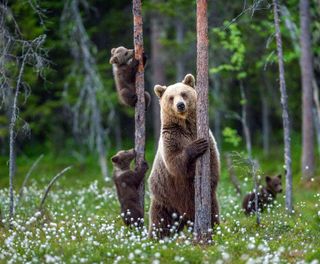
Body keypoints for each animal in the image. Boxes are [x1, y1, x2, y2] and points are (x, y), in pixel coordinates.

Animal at [148, 73, 220, 238]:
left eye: (183, 93)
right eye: (171, 97)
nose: (180, 105)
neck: (185, 126)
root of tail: (184, 217)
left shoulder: (207, 136)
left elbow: (213, 163)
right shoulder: (171, 138)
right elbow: (175, 162)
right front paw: (196, 146)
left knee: (213, 214)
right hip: (165, 199)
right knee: (160, 223)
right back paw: (154, 239)